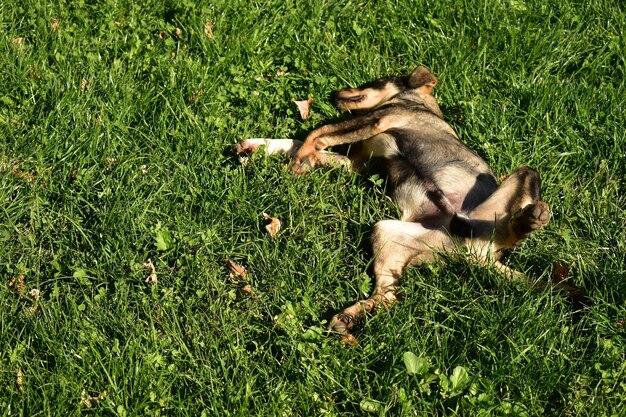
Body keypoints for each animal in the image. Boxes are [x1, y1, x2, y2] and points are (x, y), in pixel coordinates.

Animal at [238, 65, 580, 334]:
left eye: (375, 81)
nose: (335, 92)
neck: (418, 104)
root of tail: (481, 257)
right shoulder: (358, 162)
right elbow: (300, 141)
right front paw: (258, 147)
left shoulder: (379, 119)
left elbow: (316, 134)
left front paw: (297, 160)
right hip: (386, 233)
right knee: (390, 296)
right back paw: (350, 317)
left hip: (521, 181)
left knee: (513, 231)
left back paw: (529, 219)